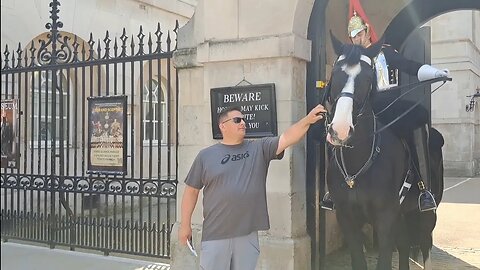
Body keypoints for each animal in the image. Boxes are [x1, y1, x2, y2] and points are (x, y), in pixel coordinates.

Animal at [324, 34, 444, 270]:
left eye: (368, 77)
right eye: (335, 73)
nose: (340, 130)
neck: (359, 163)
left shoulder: (385, 217)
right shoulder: (347, 218)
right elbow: (359, 261)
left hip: (426, 214)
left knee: (425, 244)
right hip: (402, 214)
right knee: (405, 245)